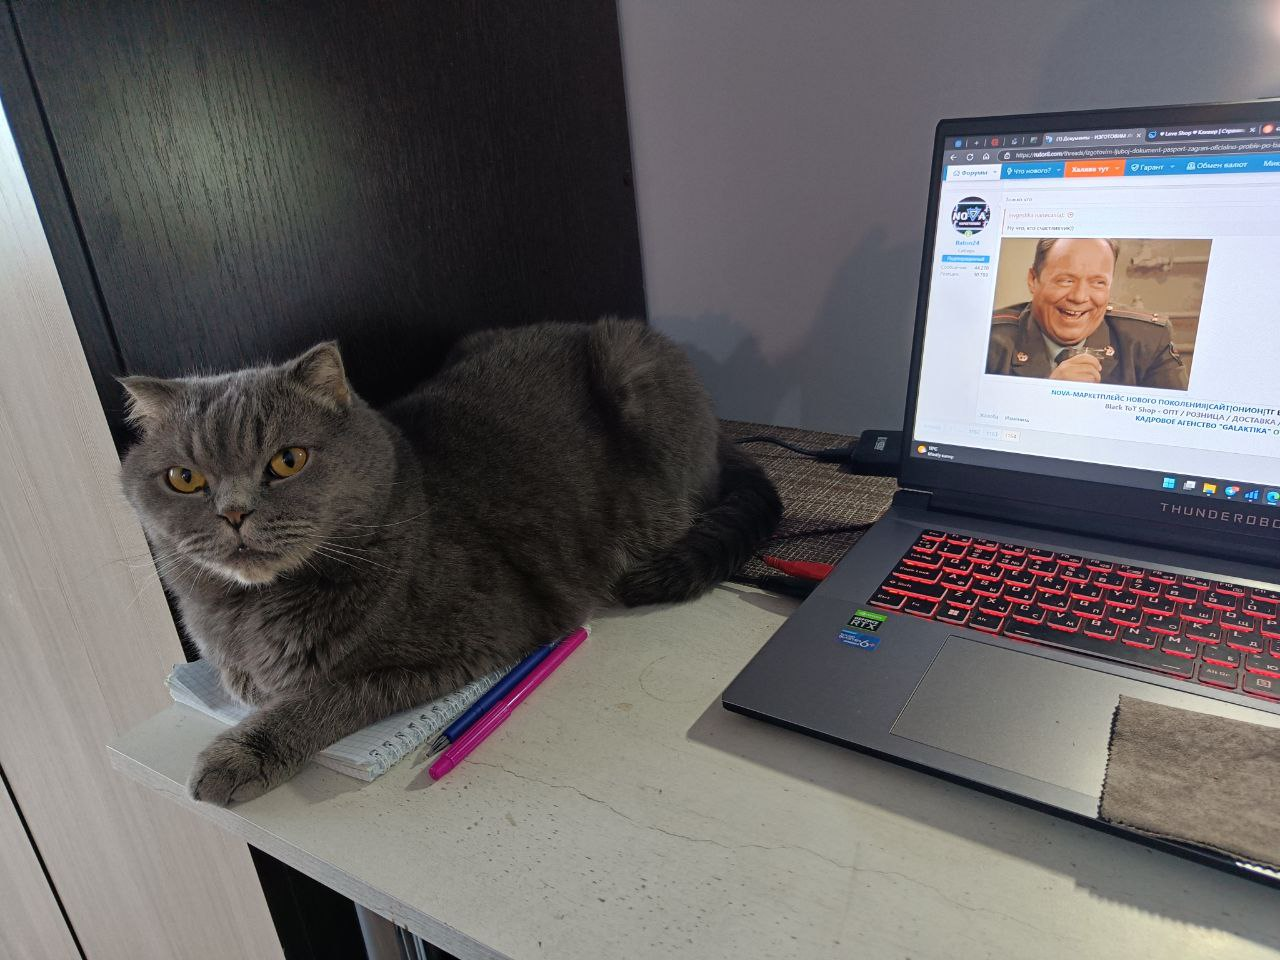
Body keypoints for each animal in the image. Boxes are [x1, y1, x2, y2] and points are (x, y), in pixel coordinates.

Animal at [119, 319, 782, 805]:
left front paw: (238, 755)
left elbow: (325, 697)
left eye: (287, 460)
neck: (250, 608)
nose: (233, 513)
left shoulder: (466, 641)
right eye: (184, 478)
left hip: (638, 384)